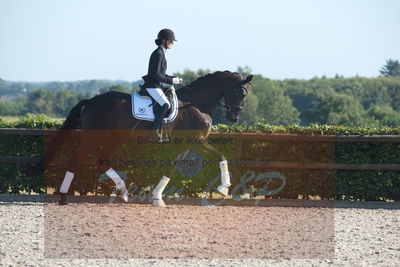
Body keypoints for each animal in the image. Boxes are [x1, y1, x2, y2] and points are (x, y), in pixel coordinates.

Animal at [27, 70, 253, 205]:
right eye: (240, 93)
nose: (234, 118)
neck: (196, 103)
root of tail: (90, 100)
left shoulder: (184, 144)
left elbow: (171, 167)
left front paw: (157, 197)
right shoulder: (197, 141)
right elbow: (221, 156)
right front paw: (224, 188)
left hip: (115, 137)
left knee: (103, 160)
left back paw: (124, 192)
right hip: (93, 137)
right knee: (77, 159)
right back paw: (64, 197)